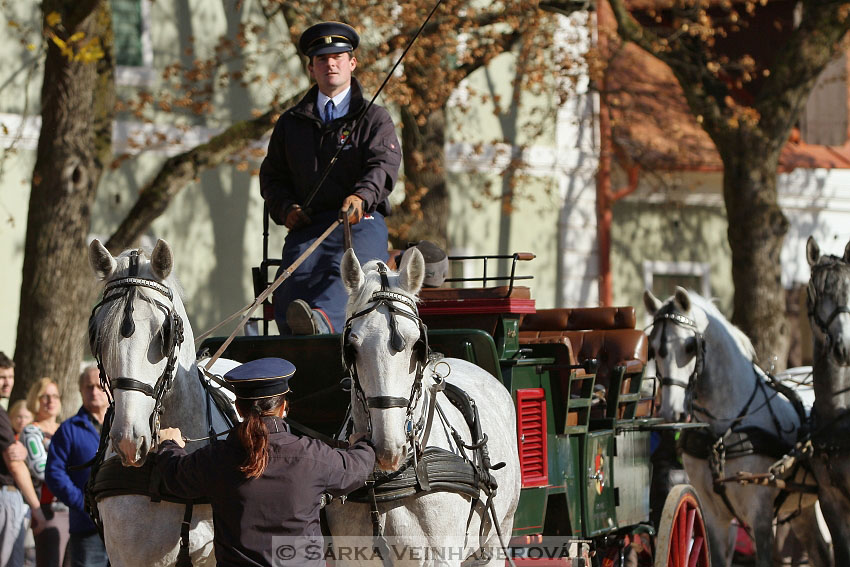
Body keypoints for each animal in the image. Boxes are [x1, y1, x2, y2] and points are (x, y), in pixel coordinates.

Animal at [644, 288, 828, 567]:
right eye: (652, 348)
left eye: (689, 346)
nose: (670, 411)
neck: (721, 433)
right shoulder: (713, 517)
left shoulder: (760, 514)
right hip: (801, 505)